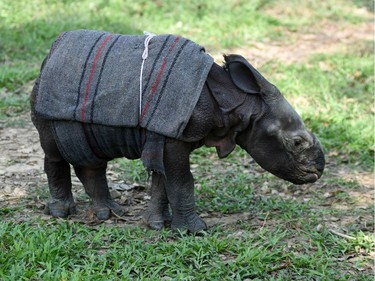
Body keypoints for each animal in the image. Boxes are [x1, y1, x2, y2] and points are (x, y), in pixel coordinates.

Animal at [30, 30, 326, 232]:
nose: (318, 171)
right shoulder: (172, 137)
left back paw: (108, 214)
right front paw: (194, 230)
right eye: (297, 142)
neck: (241, 104)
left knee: (89, 155)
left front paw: (157, 224)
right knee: (54, 151)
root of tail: (49, 54)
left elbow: (163, 181)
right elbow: (182, 180)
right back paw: (61, 213)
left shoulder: (169, 136)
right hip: (43, 97)